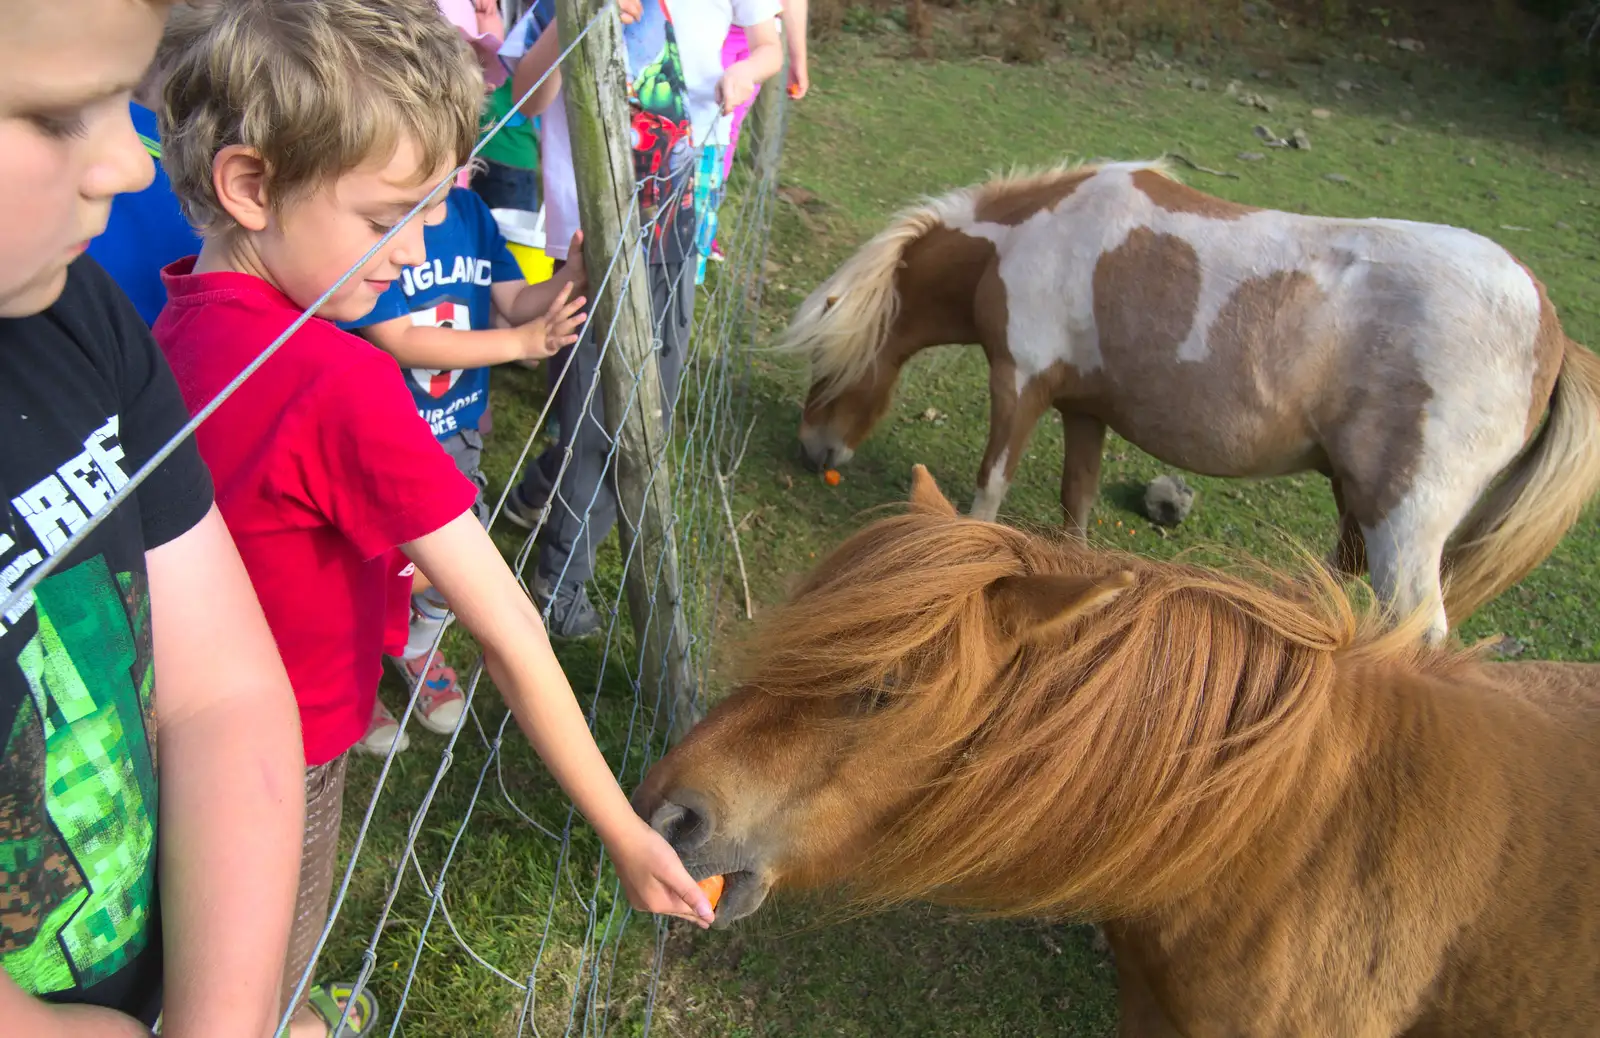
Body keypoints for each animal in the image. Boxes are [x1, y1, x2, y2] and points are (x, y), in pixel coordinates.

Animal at [780, 155, 1600, 639]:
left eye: (825, 363)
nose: (813, 449)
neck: (1025, 241)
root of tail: (1552, 330)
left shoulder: (1018, 383)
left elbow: (989, 490)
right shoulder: (1084, 410)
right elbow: (1076, 507)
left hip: (1405, 526)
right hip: (1360, 502)